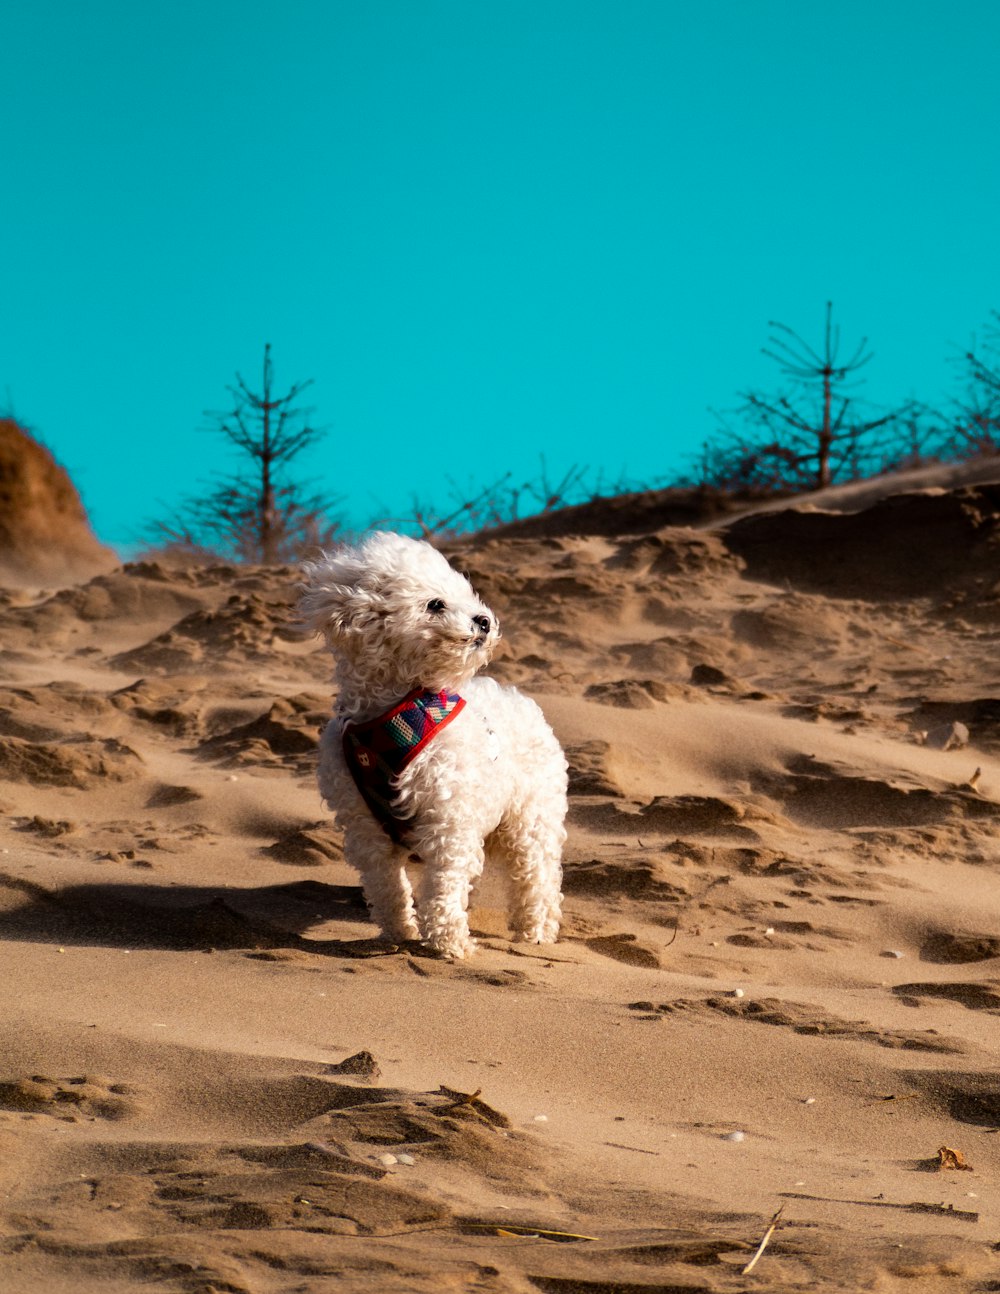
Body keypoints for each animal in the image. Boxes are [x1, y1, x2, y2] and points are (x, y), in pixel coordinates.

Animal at [296, 530, 566, 957]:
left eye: (465, 595)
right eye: (435, 604)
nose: (483, 620)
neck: (392, 713)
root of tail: (521, 699)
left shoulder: (448, 817)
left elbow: (444, 883)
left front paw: (449, 942)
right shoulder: (364, 826)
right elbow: (387, 885)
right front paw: (398, 932)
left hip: (532, 816)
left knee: (536, 875)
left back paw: (535, 931)